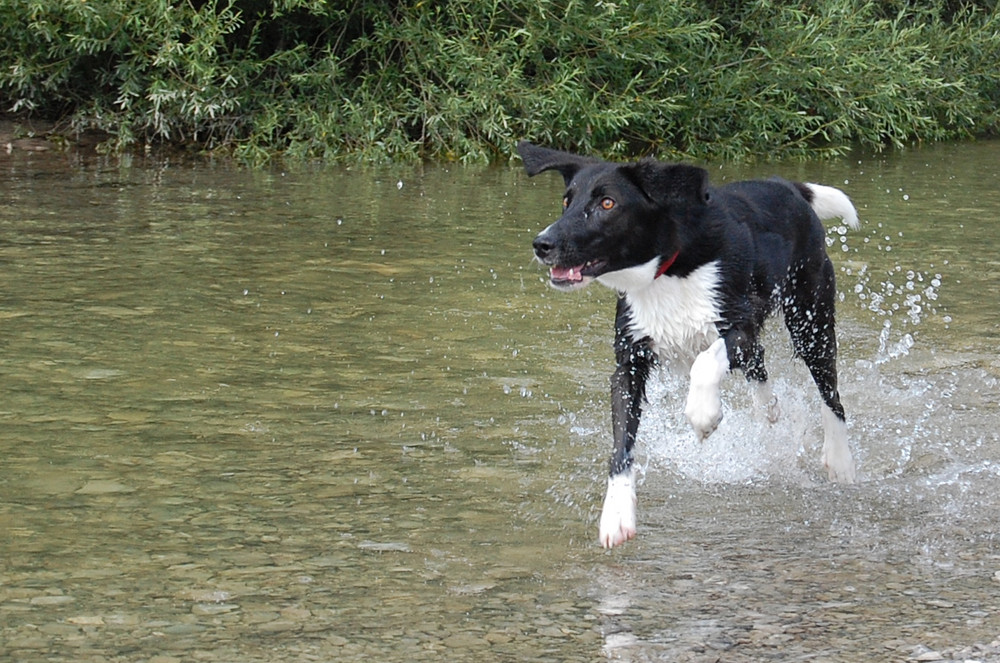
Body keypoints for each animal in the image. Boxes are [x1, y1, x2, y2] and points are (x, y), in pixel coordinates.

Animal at [516, 141, 860, 548]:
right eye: (566, 202)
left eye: (608, 204)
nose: (542, 244)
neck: (669, 269)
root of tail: (787, 187)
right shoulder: (629, 361)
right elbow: (621, 441)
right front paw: (616, 513)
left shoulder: (739, 323)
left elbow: (705, 362)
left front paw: (703, 415)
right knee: (759, 367)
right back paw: (769, 411)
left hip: (811, 321)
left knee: (830, 394)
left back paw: (840, 460)